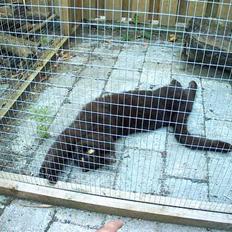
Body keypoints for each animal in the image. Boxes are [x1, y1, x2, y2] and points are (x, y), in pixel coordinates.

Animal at [39, 80, 231, 183]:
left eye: (91, 155)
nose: (82, 160)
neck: (99, 130)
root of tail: (176, 115)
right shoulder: (71, 136)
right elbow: (56, 153)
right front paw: (46, 173)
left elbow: (55, 152)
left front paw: (48, 174)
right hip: (177, 102)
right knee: (184, 92)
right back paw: (182, 82)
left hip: (173, 97)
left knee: (186, 91)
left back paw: (188, 82)